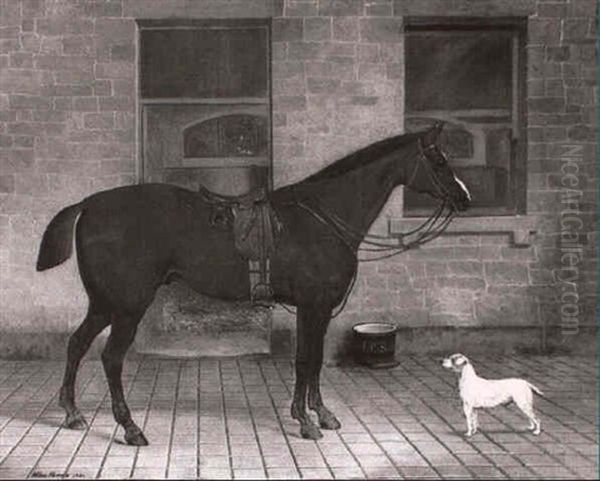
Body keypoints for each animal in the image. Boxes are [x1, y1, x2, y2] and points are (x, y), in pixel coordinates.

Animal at [35, 122, 472, 444]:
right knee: (111, 357)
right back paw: (130, 429)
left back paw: (72, 414)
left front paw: (322, 414)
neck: (321, 218)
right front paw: (305, 421)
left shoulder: (319, 310)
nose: (465, 198)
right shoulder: (312, 306)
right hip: (127, 306)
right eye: (437, 158)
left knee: (77, 344)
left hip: (103, 303)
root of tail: (89, 205)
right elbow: (304, 360)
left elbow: (314, 360)